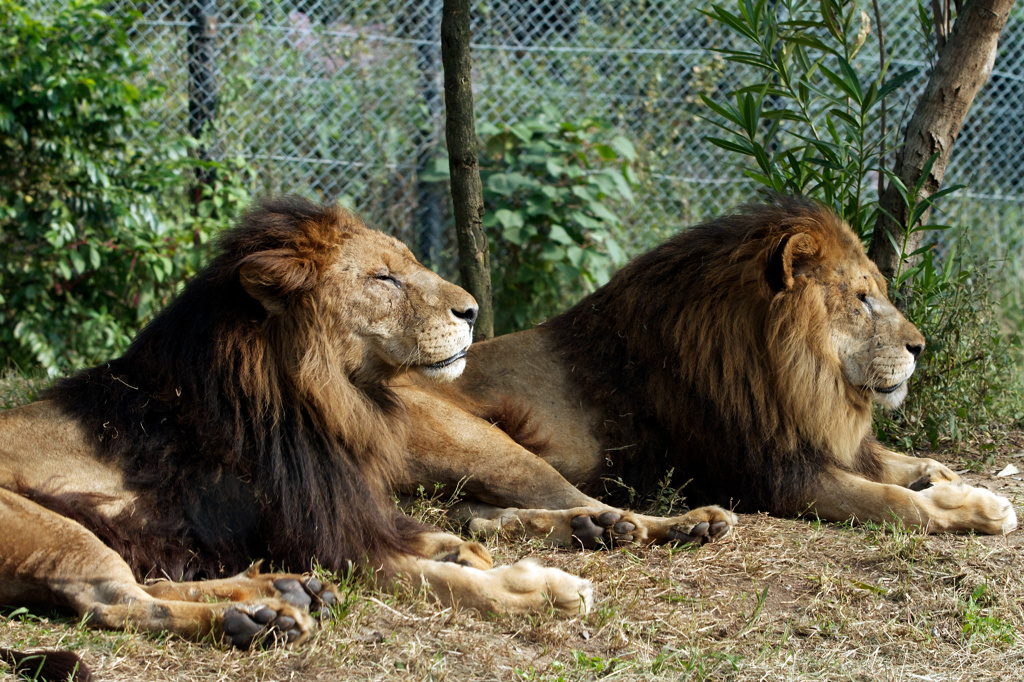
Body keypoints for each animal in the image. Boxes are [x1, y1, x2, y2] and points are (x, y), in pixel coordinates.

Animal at [391, 195, 1015, 540]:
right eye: (862, 298)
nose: (920, 346)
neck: (793, 376)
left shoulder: (815, 440)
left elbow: (906, 465)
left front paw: (945, 478)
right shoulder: (776, 475)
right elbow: (894, 502)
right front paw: (981, 509)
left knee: (480, 516)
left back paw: (601, 532)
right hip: (486, 443)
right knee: (579, 500)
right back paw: (673, 524)